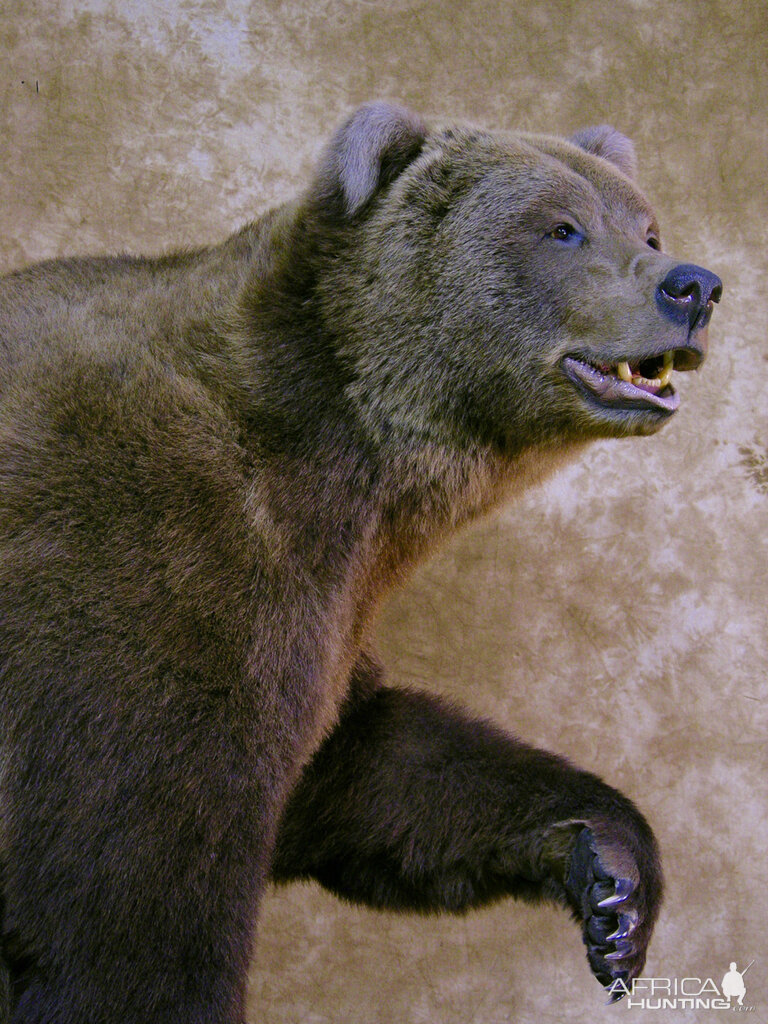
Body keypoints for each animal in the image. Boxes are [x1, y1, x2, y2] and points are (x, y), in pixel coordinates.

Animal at [0, 99, 720, 1019]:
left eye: (648, 225)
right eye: (561, 228)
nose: (692, 285)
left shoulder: (322, 609)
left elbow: (367, 769)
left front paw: (613, 877)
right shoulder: (143, 575)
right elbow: (128, 891)